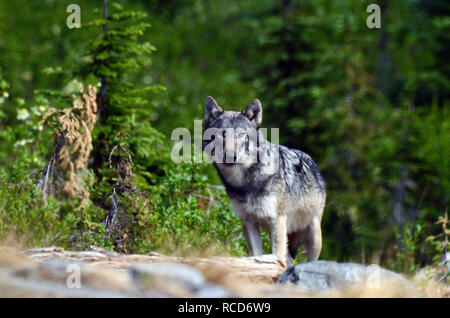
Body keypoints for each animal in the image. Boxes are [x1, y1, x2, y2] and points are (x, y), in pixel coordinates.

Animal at [204, 96, 326, 266]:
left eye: (240, 134)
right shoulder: (249, 223)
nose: (230, 156)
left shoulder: (277, 221)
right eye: (222, 134)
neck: (246, 183)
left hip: (313, 234)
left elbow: (276, 256)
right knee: (289, 259)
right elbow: (257, 256)